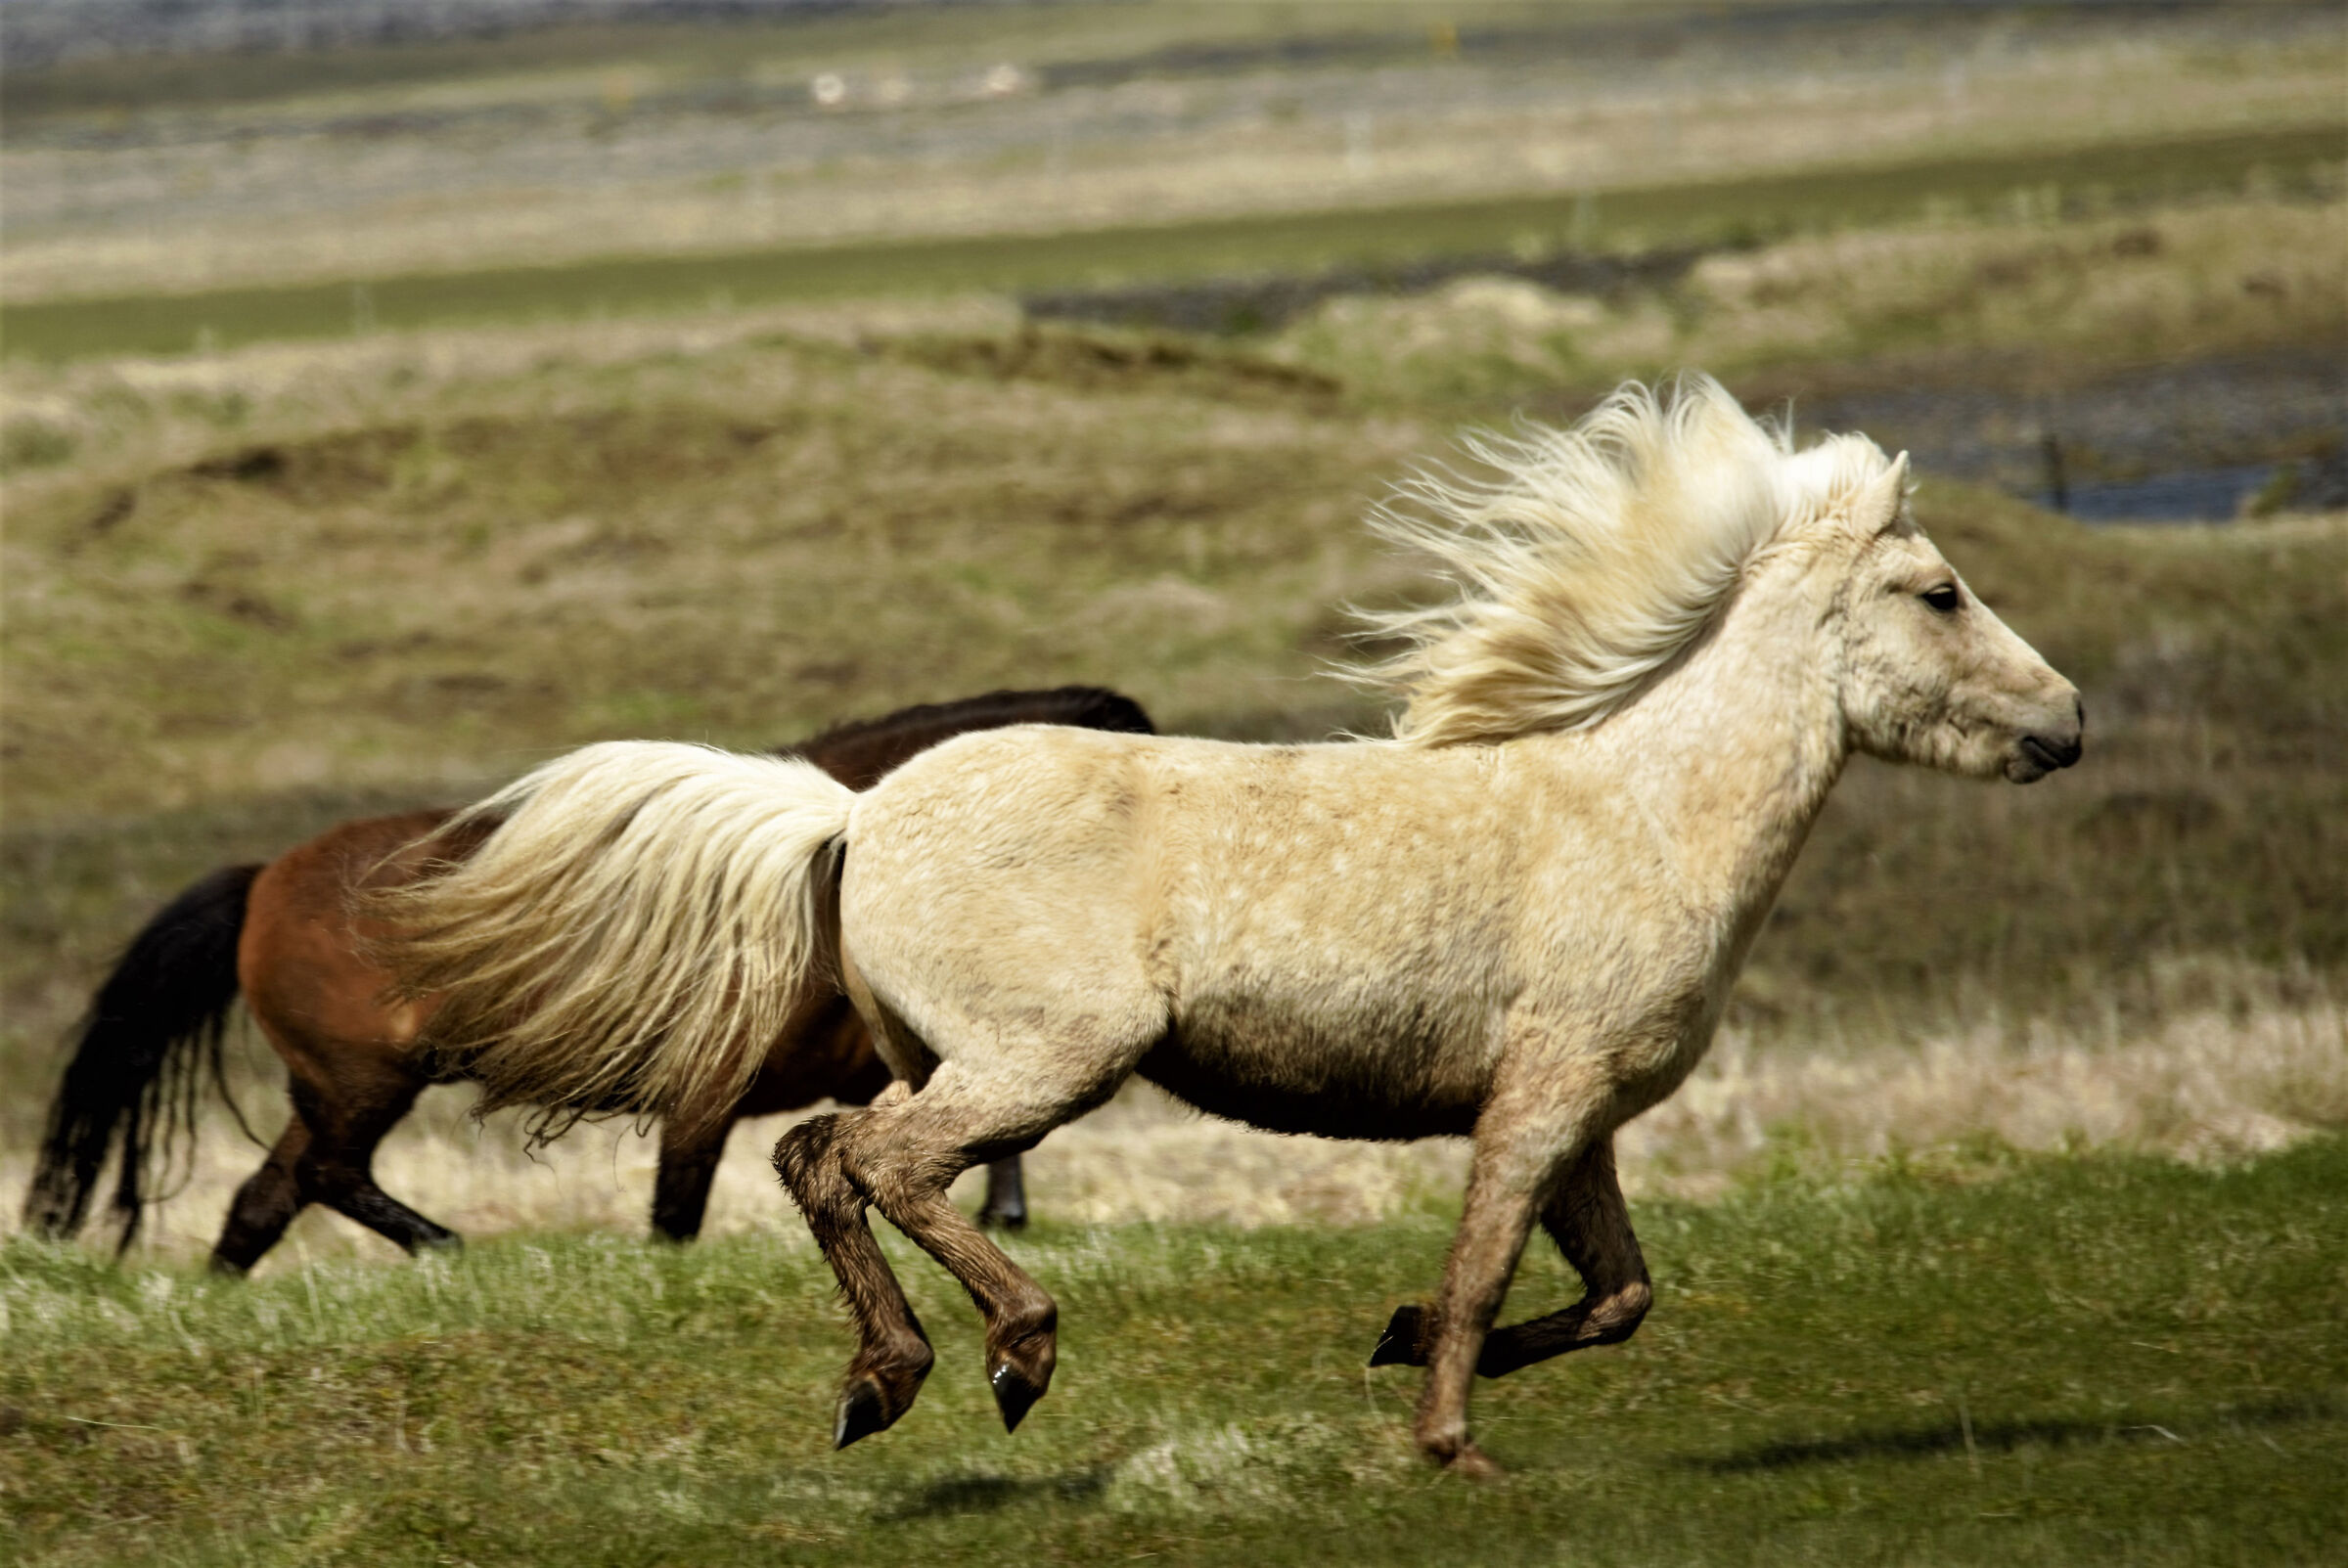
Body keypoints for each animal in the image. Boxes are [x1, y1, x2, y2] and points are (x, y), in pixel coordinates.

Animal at [20, 686, 1156, 1273]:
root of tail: (265, 879)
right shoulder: (709, 1098)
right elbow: (677, 1214)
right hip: (364, 1081)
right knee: (326, 1175)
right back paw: (449, 1246)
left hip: (336, 1087)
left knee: (266, 1198)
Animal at [371, 377, 2083, 1473]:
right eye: (1940, 591)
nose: (2067, 724)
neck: (1644, 816)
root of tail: (854, 812)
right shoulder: (1540, 1099)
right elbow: (1489, 1264)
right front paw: (1448, 1442)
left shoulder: (1584, 1112)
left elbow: (1617, 1293)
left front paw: (1398, 1341)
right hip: (1047, 1057)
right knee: (883, 1164)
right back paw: (1012, 1352)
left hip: (946, 1055)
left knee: (821, 1159)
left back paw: (887, 1380)